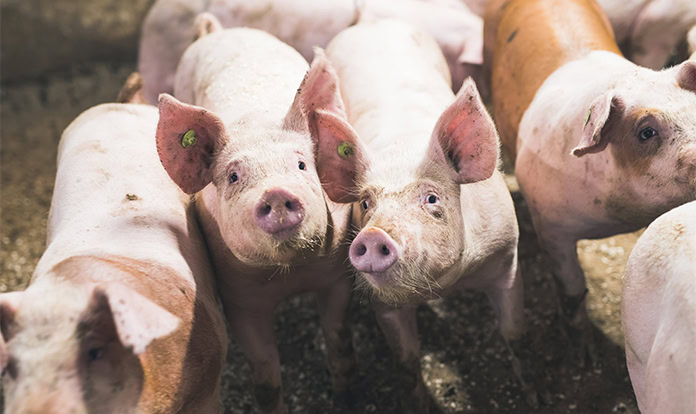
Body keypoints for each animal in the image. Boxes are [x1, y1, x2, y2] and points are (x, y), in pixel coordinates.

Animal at [155, 15, 359, 413]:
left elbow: (340, 343)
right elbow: (266, 378)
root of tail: (218, 32)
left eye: (301, 165)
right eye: (234, 176)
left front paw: (345, 398)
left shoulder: (337, 274)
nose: (277, 193)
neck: (292, 273)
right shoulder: (239, 297)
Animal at [320, 19, 535, 412]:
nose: (373, 236)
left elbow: (515, 333)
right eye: (366, 203)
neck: (445, 284)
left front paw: (533, 397)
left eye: (432, 198)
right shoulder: (383, 303)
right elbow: (406, 360)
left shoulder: (508, 259)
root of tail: (371, 23)